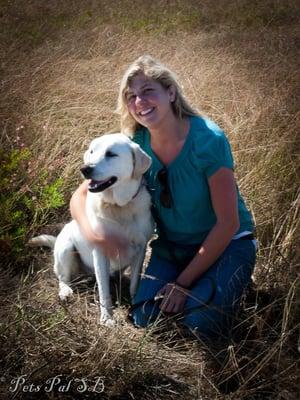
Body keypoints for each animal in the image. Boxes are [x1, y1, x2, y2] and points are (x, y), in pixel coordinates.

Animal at [29, 134, 154, 324]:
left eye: (111, 154)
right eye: (92, 151)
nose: (85, 169)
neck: (119, 207)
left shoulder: (141, 248)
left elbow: (135, 283)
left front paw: (134, 306)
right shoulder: (100, 250)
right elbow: (104, 291)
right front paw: (107, 318)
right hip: (66, 248)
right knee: (63, 277)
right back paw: (65, 291)